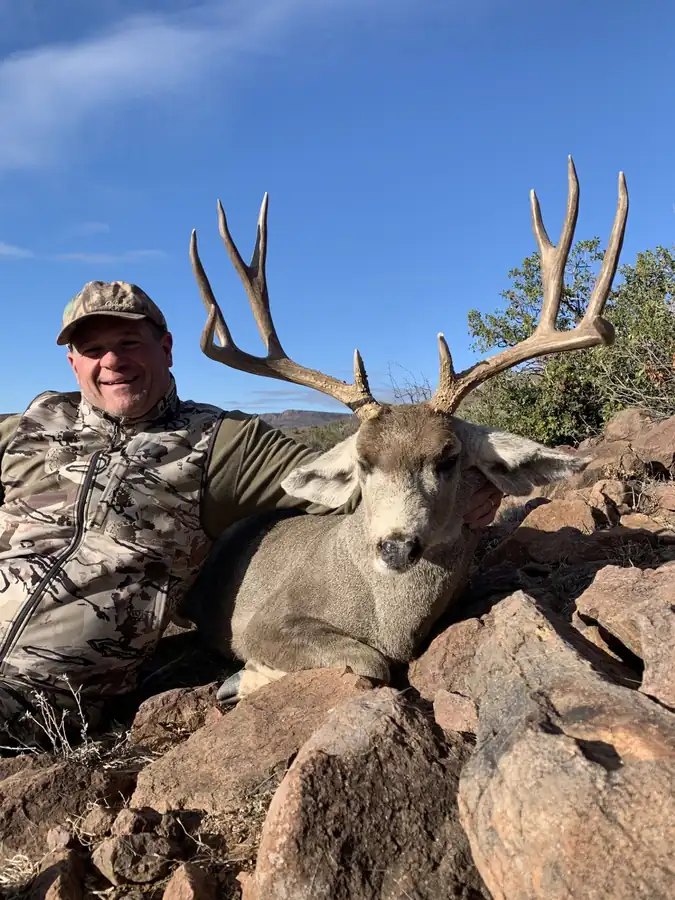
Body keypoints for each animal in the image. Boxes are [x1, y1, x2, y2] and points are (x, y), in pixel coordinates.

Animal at [182, 157, 628, 703]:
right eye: (363, 464)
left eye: (449, 457)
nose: (396, 546)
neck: (384, 620)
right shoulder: (261, 620)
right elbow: (367, 661)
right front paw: (245, 678)